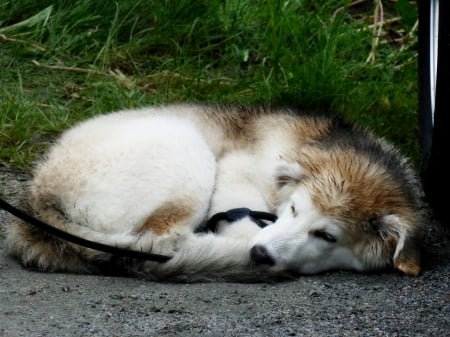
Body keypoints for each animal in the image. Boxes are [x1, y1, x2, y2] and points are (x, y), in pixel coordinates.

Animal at [6, 103, 426, 280]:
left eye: (326, 236)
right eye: (293, 210)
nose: (260, 256)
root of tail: (40, 199)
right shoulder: (235, 173)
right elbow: (243, 218)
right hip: (186, 151)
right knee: (159, 245)